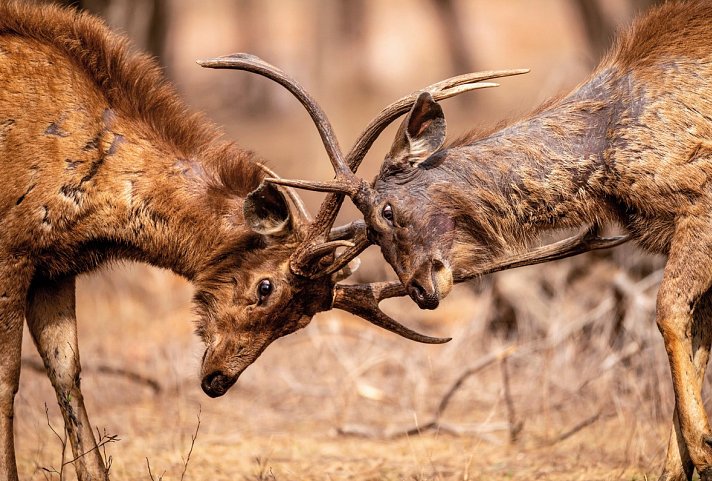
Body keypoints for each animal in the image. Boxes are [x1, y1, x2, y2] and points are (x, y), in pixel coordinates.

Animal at [258, 1, 712, 478]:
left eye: (386, 211)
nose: (421, 290)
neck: (606, 149)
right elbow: (696, 339)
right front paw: (680, 463)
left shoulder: (700, 208)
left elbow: (667, 312)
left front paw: (703, 447)